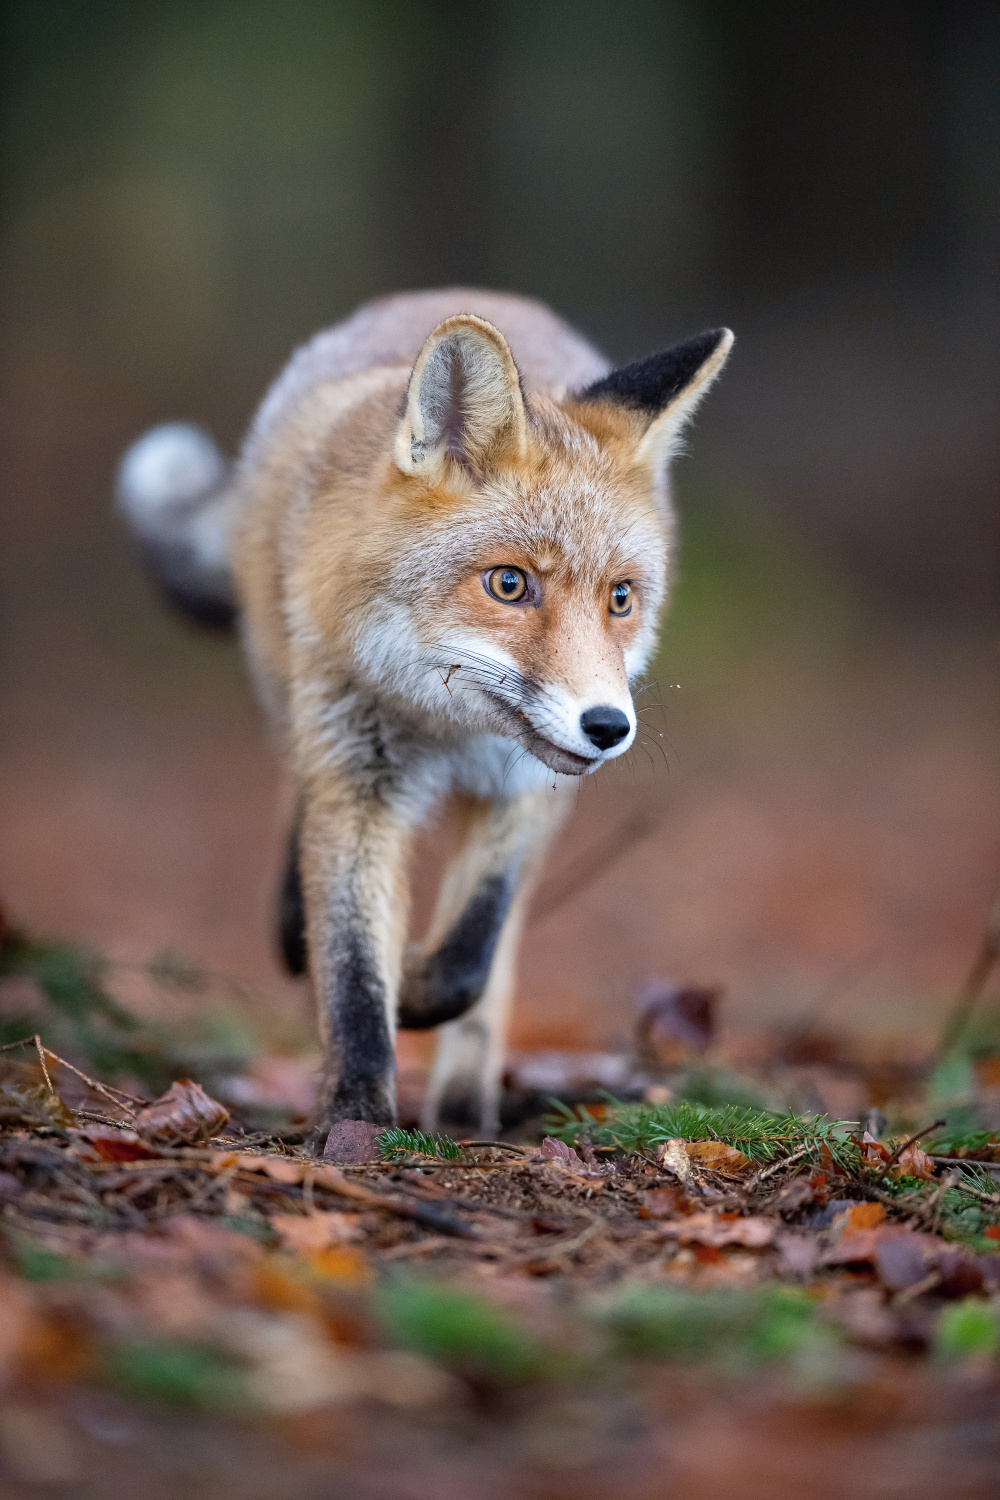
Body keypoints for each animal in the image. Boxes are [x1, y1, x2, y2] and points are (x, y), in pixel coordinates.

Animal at [117, 286, 731, 1140]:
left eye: (620, 598)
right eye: (509, 584)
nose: (609, 728)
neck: (449, 733)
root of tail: (467, 297)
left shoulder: (527, 787)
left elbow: (470, 954)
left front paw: (416, 993)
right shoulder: (359, 780)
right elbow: (351, 972)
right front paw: (354, 1119)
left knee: (492, 970)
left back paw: (468, 1108)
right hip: (291, 694)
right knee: (293, 798)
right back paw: (292, 921)